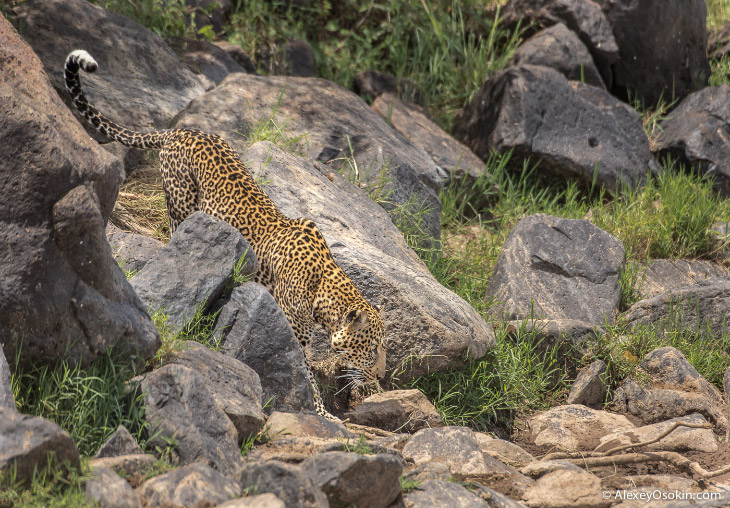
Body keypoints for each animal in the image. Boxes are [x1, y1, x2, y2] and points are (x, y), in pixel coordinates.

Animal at [65, 48, 386, 420]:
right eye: (373, 347)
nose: (381, 375)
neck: (323, 289)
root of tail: (180, 131)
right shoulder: (292, 331)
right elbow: (302, 375)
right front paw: (322, 413)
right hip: (181, 202)